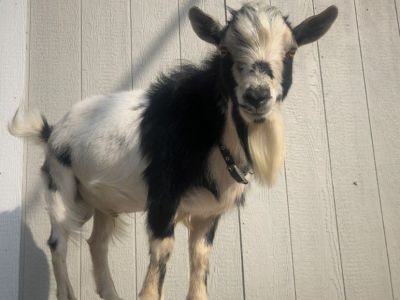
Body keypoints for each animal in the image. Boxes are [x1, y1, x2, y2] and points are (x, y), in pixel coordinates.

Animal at [9, 2, 338, 300]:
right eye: (224, 50)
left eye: (291, 51)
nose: (256, 96)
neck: (209, 128)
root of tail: (52, 130)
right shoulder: (162, 201)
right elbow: (157, 270)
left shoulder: (207, 215)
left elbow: (200, 265)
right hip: (61, 187)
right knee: (58, 242)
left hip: (102, 204)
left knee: (97, 243)